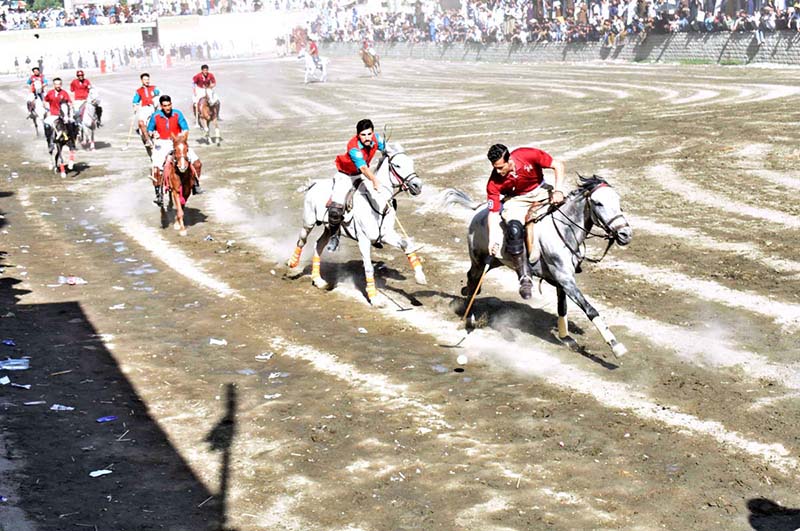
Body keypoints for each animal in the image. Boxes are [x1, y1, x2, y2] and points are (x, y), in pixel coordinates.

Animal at [286, 143, 424, 308]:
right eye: (397, 165)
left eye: (411, 162)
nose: (417, 186)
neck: (379, 202)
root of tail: (314, 183)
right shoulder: (364, 239)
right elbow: (369, 268)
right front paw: (374, 298)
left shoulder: (385, 235)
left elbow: (406, 245)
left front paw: (420, 277)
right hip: (309, 221)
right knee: (302, 240)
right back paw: (292, 263)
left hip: (328, 228)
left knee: (318, 245)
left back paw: (319, 281)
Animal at [444, 178, 632, 358]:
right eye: (598, 203)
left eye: (618, 201)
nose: (625, 234)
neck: (564, 231)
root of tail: (480, 210)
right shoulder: (564, 278)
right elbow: (590, 310)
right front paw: (616, 346)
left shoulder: (562, 280)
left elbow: (562, 307)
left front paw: (566, 338)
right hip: (479, 259)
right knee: (473, 279)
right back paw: (469, 315)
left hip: (494, 261)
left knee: (473, 280)